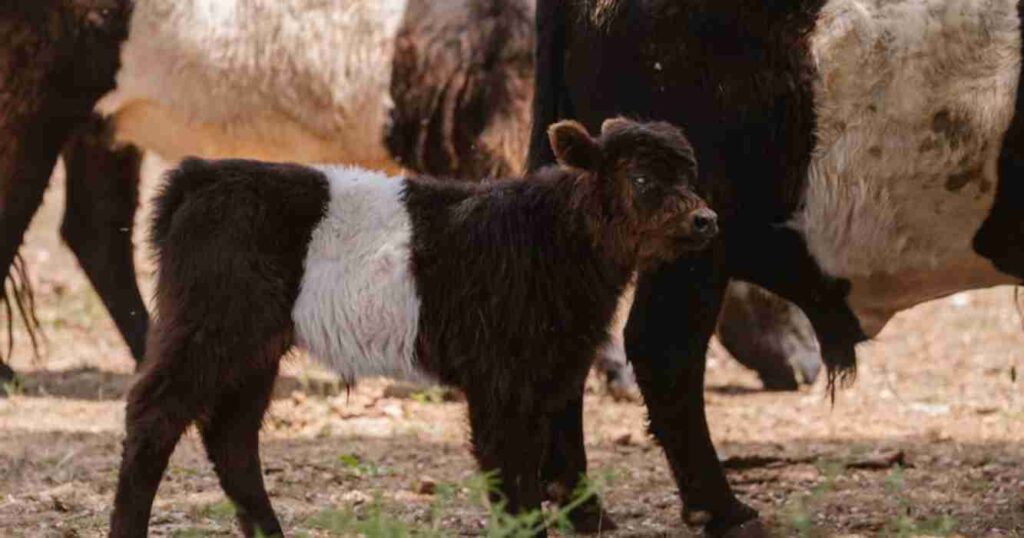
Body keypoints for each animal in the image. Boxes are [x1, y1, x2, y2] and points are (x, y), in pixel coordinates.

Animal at [110, 118, 720, 536]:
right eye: (640, 176)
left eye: (692, 175)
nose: (705, 219)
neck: (552, 237)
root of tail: (201, 174)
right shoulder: (498, 382)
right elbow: (510, 478)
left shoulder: (546, 376)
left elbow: (529, 472)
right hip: (207, 326)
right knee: (155, 413)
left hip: (256, 347)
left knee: (231, 436)